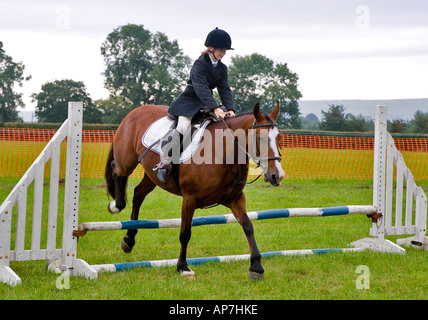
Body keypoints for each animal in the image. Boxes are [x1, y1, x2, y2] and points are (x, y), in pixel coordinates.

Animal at [103, 103, 284, 280]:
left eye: (279, 138)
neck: (222, 152)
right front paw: (183, 267)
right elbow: (185, 233)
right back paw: (116, 205)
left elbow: (248, 226)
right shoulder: (189, 199)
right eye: (260, 138)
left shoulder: (235, 198)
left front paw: (256, 266)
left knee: (138, 194)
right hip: (127, 161)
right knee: (116, 170)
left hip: (151, 175)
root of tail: (136, 110)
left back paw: (129, 240)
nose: (277, 176)